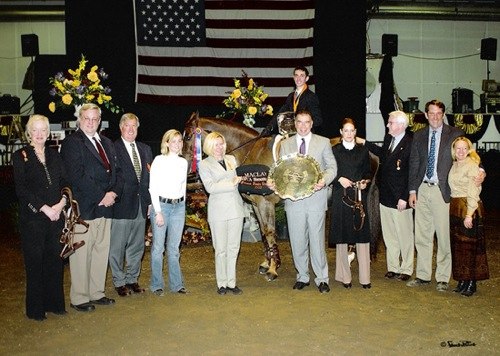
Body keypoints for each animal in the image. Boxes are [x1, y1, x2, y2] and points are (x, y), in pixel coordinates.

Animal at [184, 112, 286, 280]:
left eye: (187, 137)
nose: (184, 165)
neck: (252, 152)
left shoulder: (266, 203)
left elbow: (270, 231)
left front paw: (272, 269)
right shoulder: (256, 204)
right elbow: (263, 232)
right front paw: (267, 263)